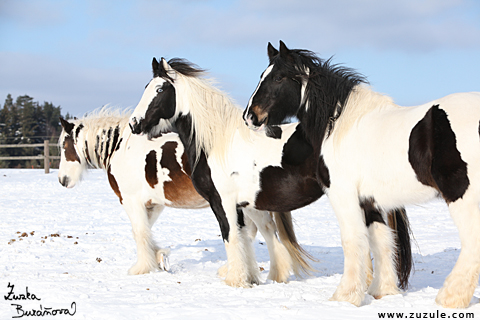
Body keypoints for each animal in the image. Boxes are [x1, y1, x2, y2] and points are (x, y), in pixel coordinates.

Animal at [58, 109, 310, 282]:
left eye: (63, 146)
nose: (62, 180)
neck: (121, 148)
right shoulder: (154, 203)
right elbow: (146, 231)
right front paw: (159, 256)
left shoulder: (131, 200)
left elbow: (139, 233)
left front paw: (142, 267)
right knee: (260, 231)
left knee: (257, 231)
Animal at [127, 57, 412, 290]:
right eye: (146, 87)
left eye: (160, 89)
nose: (133, 124)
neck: (218, 143)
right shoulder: (245, 205)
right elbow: (247, 238)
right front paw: (252, 278)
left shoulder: (223, 203)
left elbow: (231, 237)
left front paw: (235, 281)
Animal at [246, 40, 480, 308]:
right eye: (262, 76)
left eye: (278, 78)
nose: (250, 116)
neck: (339, 125)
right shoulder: (370, 202)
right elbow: (381, 242)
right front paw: (383, 291)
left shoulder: (344, 197)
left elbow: (353, 241)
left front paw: (345, 296)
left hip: (461, 196)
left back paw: (450, 297)